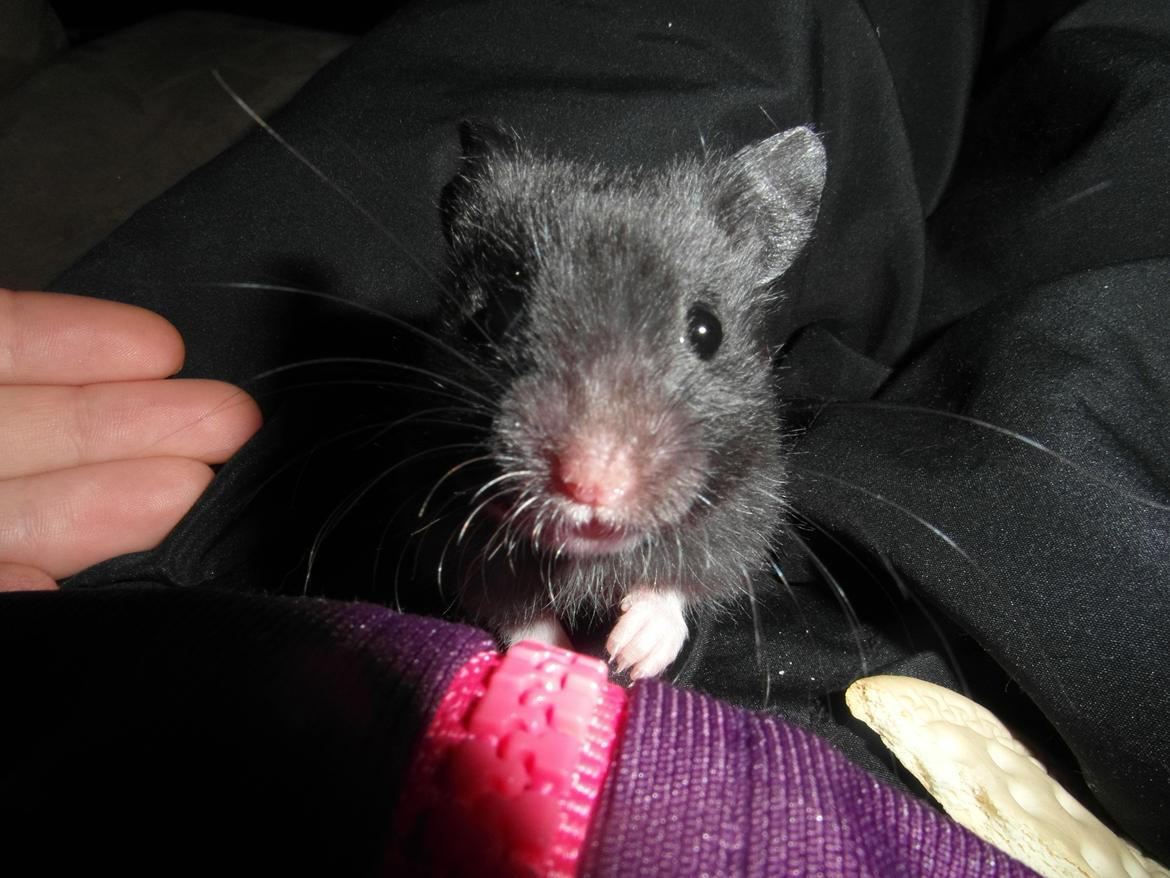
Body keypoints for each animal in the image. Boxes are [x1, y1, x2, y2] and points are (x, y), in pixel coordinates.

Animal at [431, 124, 827, 679]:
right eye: (489, 319)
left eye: (707, 330)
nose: (593, 483)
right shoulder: (456, 537)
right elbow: (514, 611)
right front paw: (559, 661)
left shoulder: (749, 506)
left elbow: (684, 580)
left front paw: (631, 652)